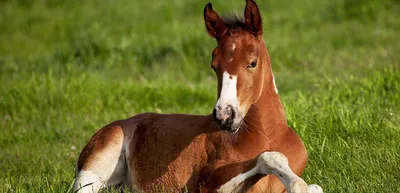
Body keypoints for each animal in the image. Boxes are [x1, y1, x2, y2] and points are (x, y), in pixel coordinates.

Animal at [72, 0, 322, 192]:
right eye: (214, 66)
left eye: (252, 62)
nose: (224, 116)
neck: (268, 135)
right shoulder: (208, 182)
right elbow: (269, 157)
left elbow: (313, 186)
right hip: (96, 165)